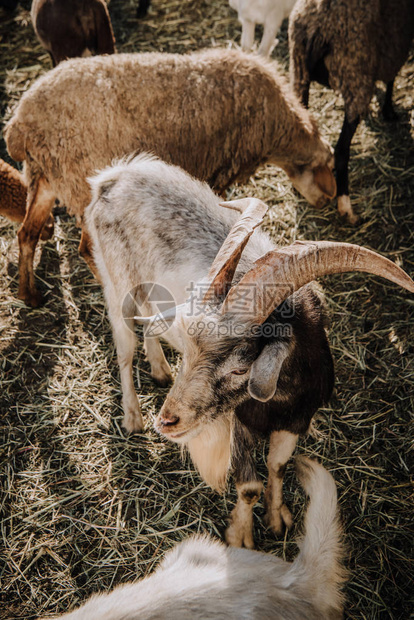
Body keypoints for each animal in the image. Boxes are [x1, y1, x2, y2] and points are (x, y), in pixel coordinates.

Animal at [85, 154, 414, 548]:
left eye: (240, 369)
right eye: (190, 354)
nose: (167, 421)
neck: (280, 402)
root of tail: (113, 177)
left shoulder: (296, 421)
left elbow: (277, 466)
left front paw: (277, 518)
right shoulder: (237, 425)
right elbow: (249, 486)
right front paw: (241, 536)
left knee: (148, 322)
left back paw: (160, 369)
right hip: (117, 282)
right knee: (124, 346)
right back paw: (133, 416)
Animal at [288, 0, 414, 225]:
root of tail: (319, 26)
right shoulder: (395, 47)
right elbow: (391, 80)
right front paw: (388, 110)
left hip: (298, 70)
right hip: (355, 76)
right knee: (341, 150)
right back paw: (347, 208)